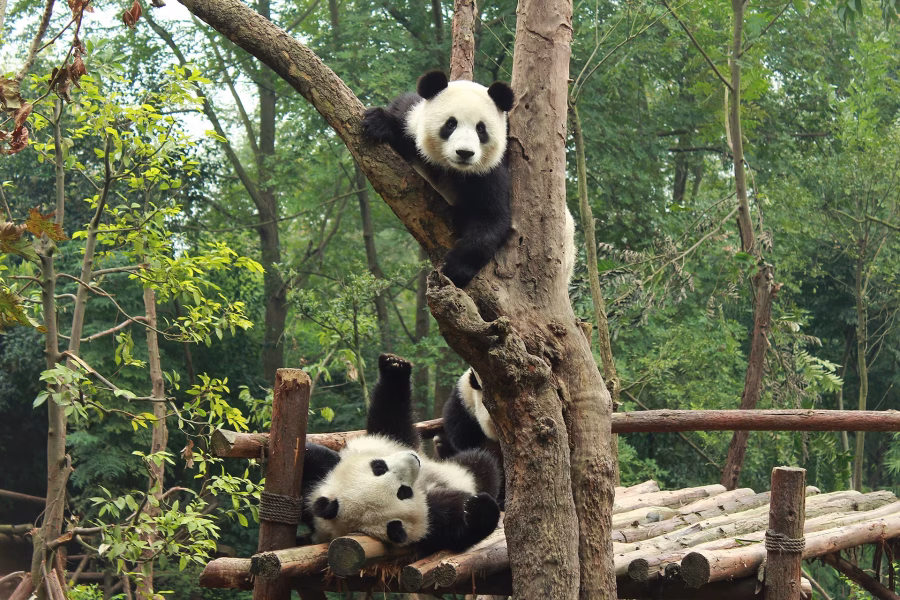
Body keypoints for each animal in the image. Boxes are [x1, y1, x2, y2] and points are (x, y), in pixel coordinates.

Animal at [300, 354, 502, 556]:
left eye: (379, 467)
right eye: (404, 492)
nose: (413, 459)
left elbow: (389, 421)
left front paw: (394, 366)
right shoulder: (431, 523)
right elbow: (457, 532)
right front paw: (479, 510)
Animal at [362, 70, 577, 289]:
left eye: (481, 129)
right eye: (450, 124)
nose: (464, 153)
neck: (453, 170)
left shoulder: (489, 172)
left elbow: (491, 218)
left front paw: (455, 268)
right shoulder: (411, 120)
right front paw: (378, 123)